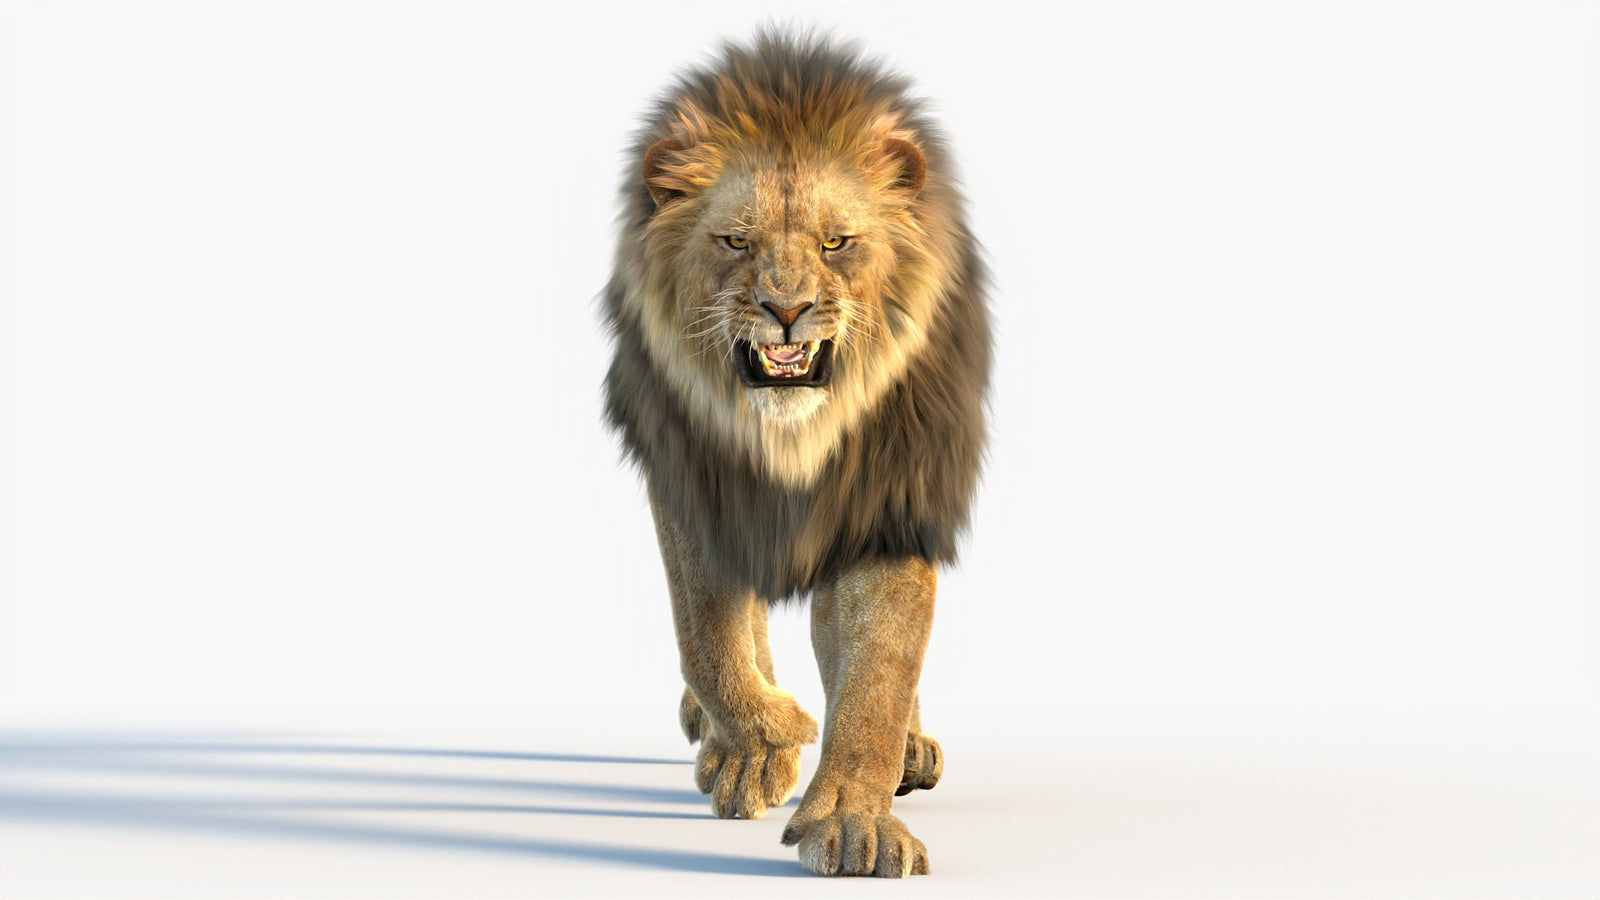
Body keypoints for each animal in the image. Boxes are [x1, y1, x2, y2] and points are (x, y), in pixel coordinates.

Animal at [601, 31, 989, 877]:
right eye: (736, 241)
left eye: (834, 242)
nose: (787, 309)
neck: (789, 437)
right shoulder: (694, 482)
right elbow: (707, 636)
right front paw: (767, 739)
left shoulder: (889, 497)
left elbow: (879, 672)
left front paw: (852, 824)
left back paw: (909, 752)